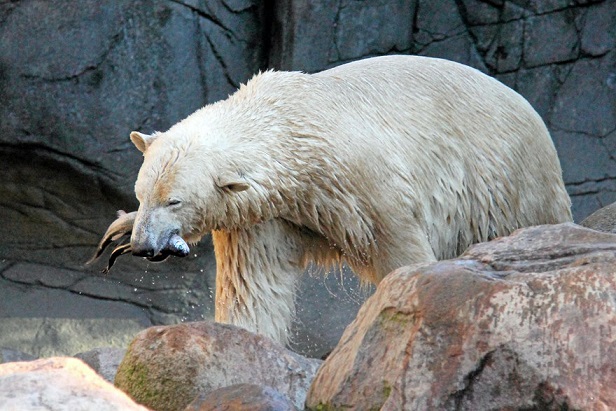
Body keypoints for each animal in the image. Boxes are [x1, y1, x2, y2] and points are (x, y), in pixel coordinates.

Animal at [92, 54, 572, 344]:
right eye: (142, 194)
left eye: (173, 201)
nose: (142, 246)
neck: (293, 128)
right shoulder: (268, 215)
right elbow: (255, 287)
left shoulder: (367, 181)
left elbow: (400, 246)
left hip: (510, 182)